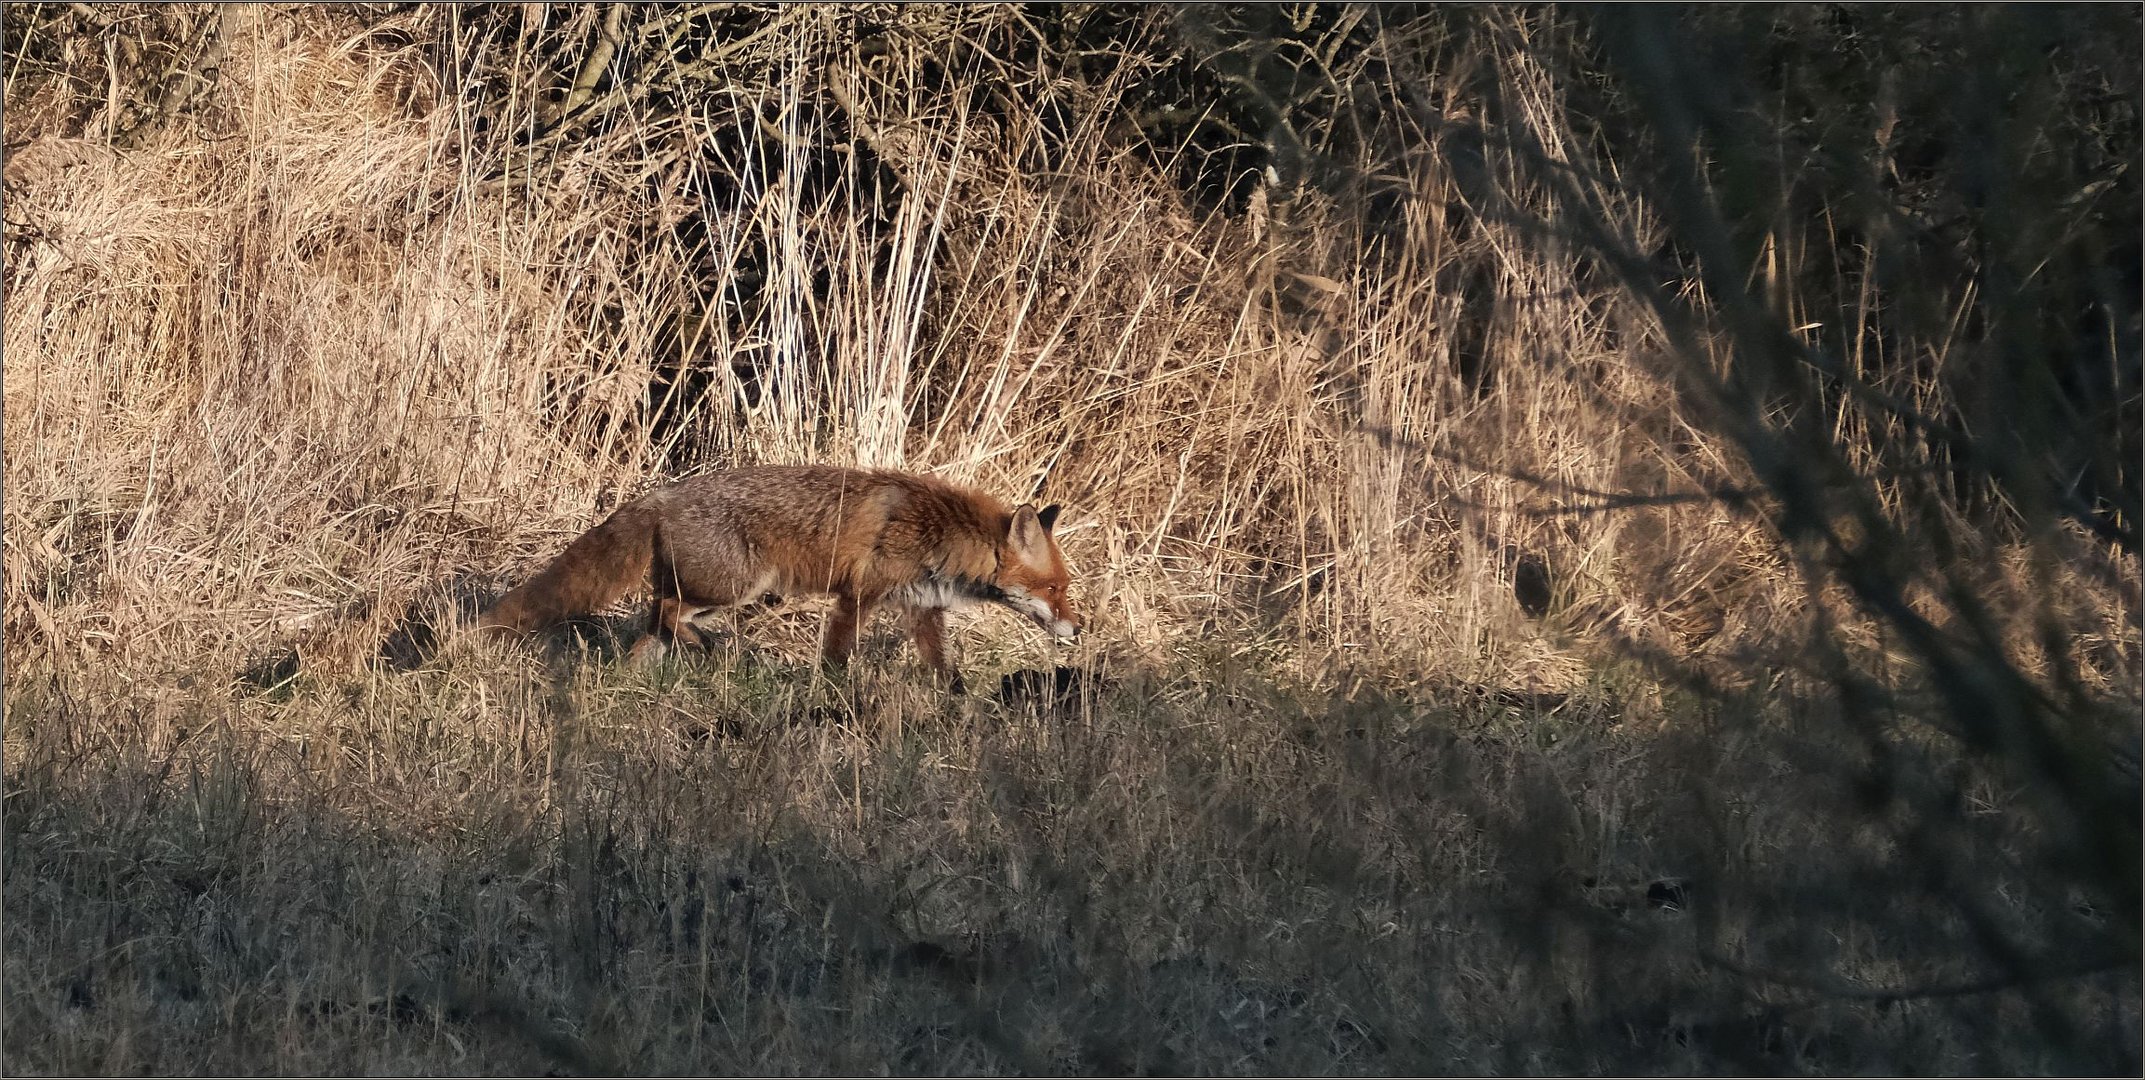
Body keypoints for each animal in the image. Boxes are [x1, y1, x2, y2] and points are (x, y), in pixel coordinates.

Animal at [469, 463, 1072, 682]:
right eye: (1054, 588)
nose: (1077, 629)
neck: (936, 534)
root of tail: (663, 494)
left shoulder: (921, 609)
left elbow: (946, 672)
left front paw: (955, 704)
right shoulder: (857, 596)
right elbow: (837, 657)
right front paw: (834, 698)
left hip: (715, 591)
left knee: (651, 628)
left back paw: (637, 680)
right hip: (736, 587)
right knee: (666, 612)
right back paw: (702, 646)